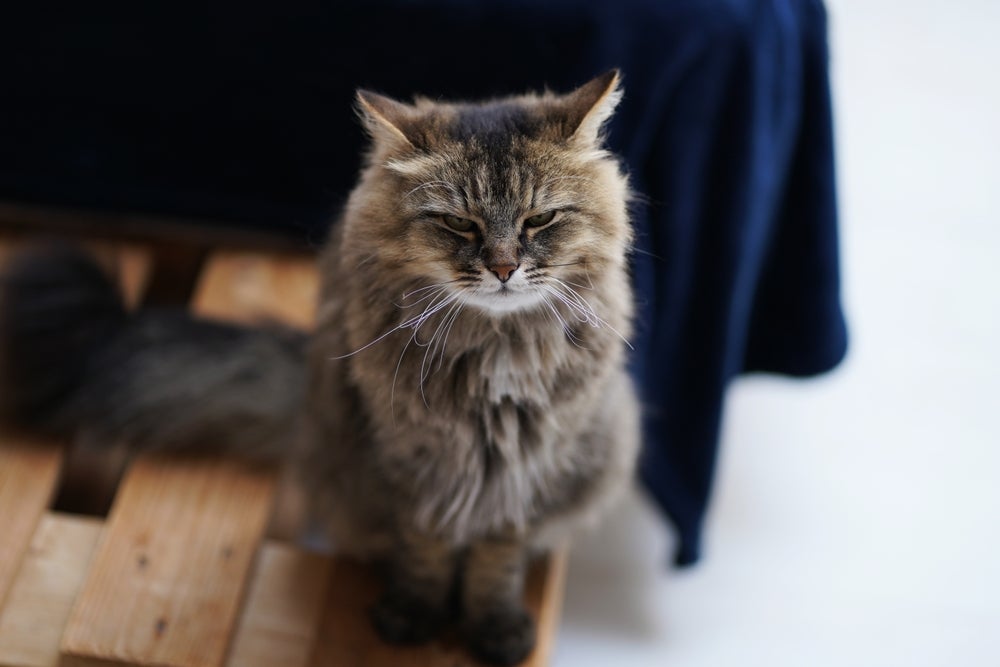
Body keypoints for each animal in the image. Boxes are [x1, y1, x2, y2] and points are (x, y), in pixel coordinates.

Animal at [0, 69, 640, 667]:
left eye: (540, 220)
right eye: (460, 223)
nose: (504, 269)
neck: (493, 355)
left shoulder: (530, 467)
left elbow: (497, 560)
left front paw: (494, 626)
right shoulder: (412, 465)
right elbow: (426, 551)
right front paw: (415, 613)